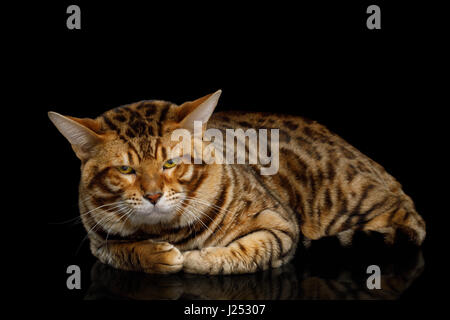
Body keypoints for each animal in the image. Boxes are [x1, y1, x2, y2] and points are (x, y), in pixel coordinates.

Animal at [49, 90, 426, 276]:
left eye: (170, 162)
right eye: (126, 170)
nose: (153, 195)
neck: (166, 230)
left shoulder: (280, 225)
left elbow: (249, 251)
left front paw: (199, 259)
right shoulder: (97, 240)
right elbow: (120, 251)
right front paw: (155, 254)